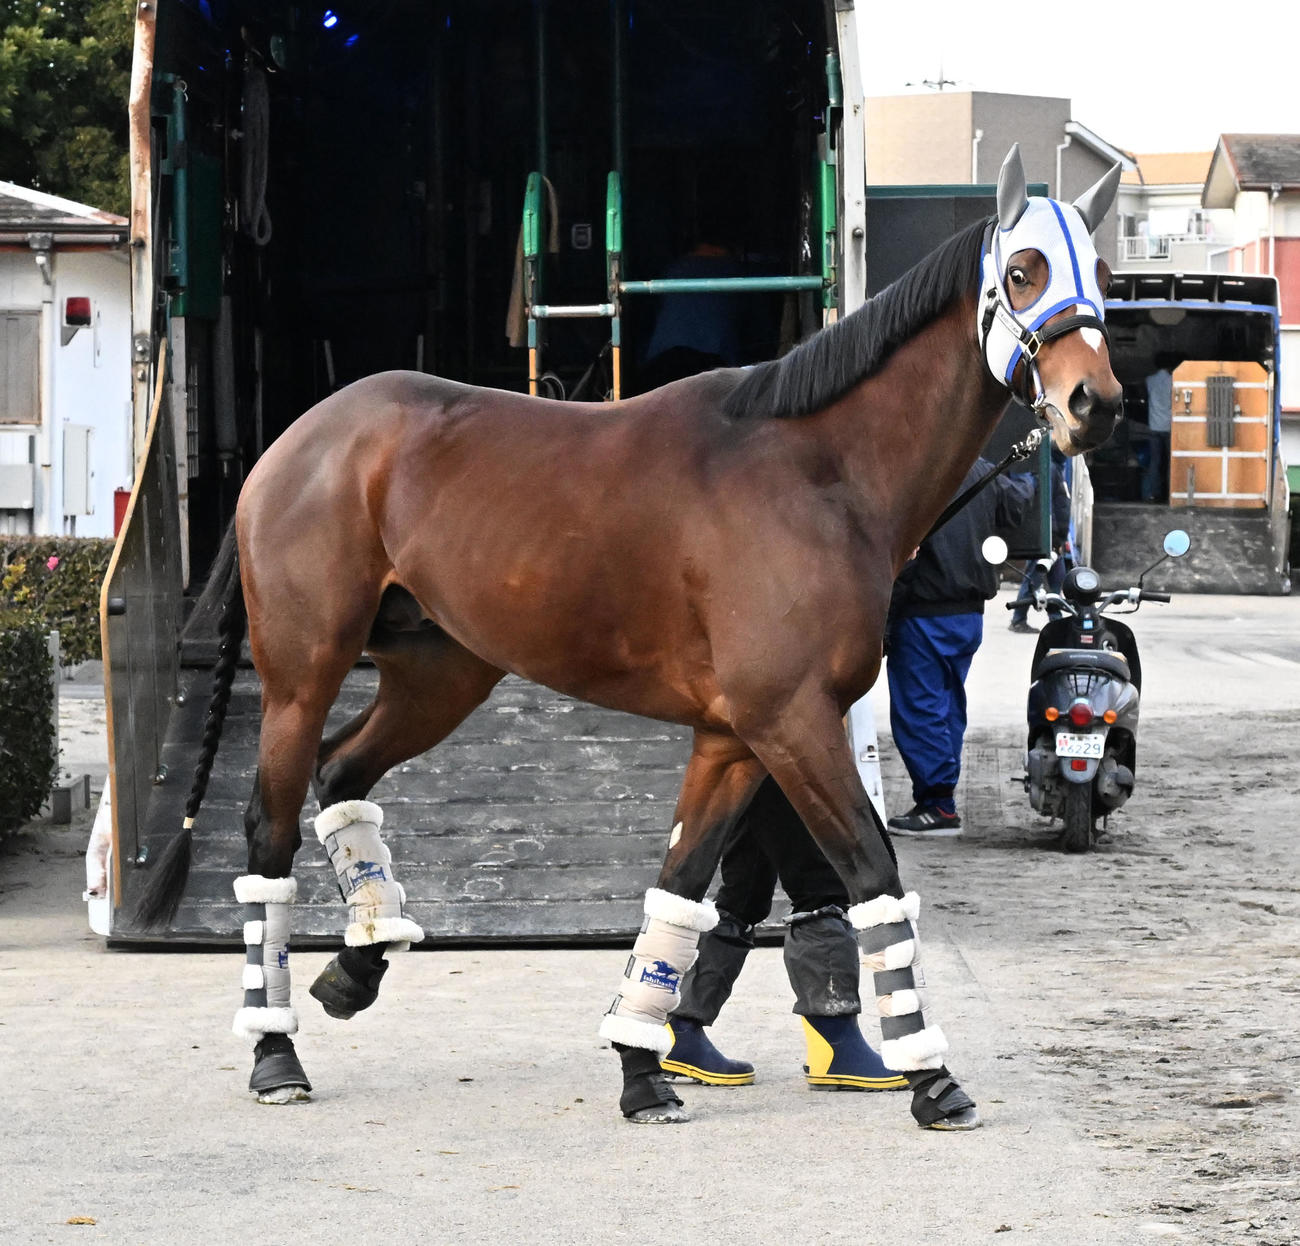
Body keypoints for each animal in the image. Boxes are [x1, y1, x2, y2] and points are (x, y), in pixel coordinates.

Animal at [137, 145, 1123, 1130]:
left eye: (1105, 276)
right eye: (1024, 271)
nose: (1095, 403)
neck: (820, 472)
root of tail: (295, 442)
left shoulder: (733, 738)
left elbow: (681, 891)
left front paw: (642, 1068)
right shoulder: (792, 722)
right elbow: (869, 874)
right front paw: (931, 1076)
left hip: (440, 675)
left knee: (343, 771)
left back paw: (361, 961)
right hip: (301, 674)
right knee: (269, 833)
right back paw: (274, 1051)